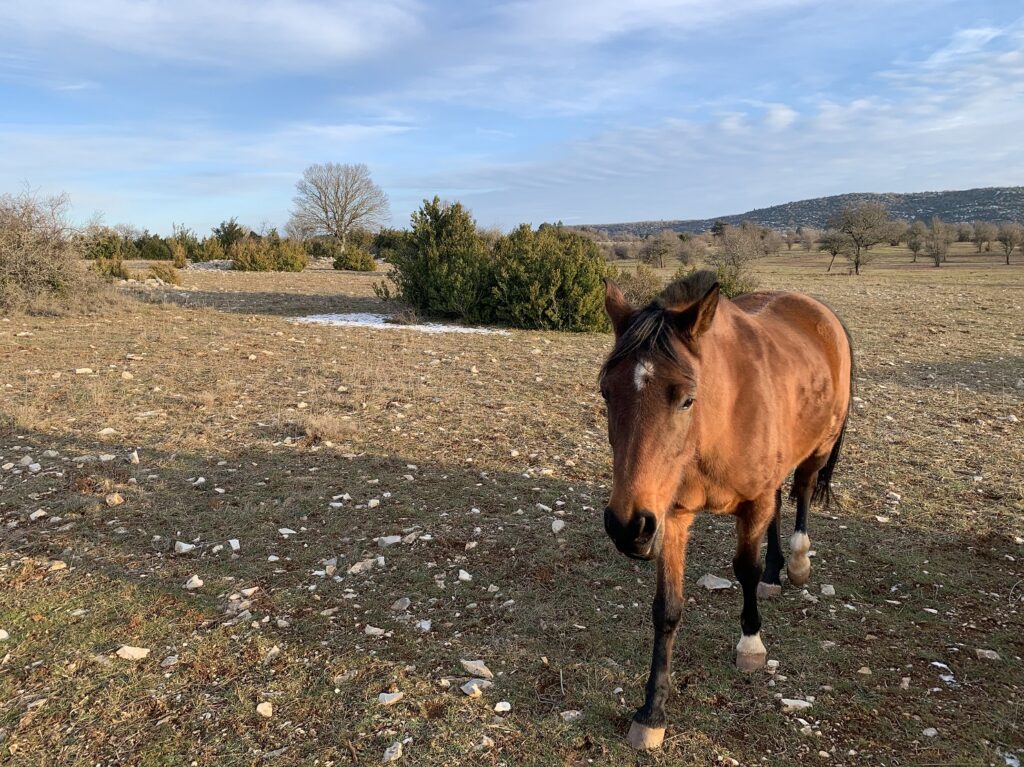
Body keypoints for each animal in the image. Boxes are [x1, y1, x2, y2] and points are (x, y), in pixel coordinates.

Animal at [598, 268, 851, 749]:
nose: (627, 527)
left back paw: (796, 562)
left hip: (816, 449)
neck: (717, 421)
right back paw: (774, 573)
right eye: (605, 392)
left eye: (686, 398)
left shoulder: (748, 504)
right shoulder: (672, 515)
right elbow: (667, 608)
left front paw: (751, 642)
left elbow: (744, 570)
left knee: (803, 490)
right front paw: (652, 711)